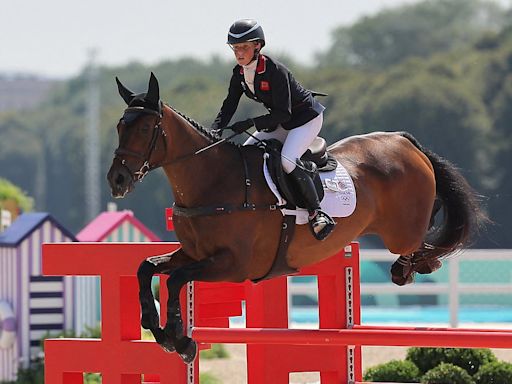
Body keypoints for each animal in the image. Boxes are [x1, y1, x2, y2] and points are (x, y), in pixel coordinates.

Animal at [107, 72, 484, 364]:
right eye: (119, 126)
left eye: (145, 129)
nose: (117, 180)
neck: (213, 182)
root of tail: (402, 140)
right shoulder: (195, 254)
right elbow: (147, 268)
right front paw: (158, 330)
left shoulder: (234, 264)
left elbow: (175, 279)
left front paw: (179, 338)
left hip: (401, 232)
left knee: (422, 242)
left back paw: (411, 266)